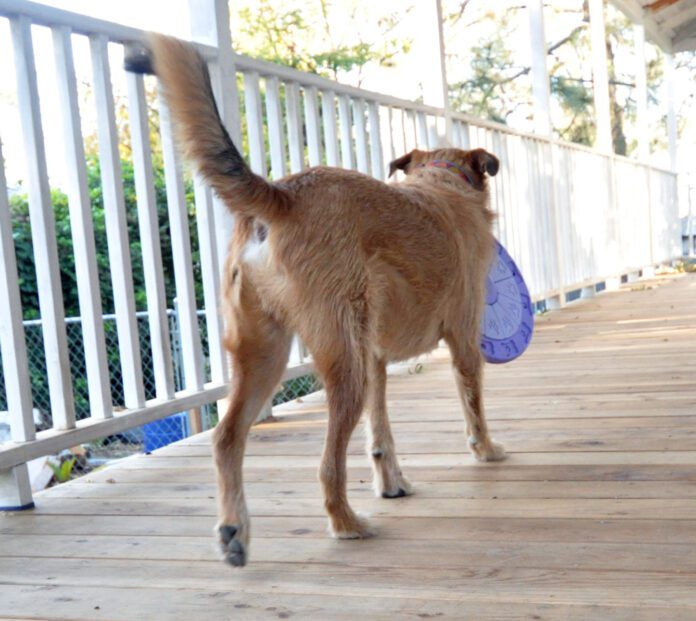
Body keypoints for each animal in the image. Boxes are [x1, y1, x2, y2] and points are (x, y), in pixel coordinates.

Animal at [147, 35, 506, 568]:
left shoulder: (375, 356)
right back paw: (346, 523)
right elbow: (472, 403)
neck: (441, 181)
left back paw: (236, 530)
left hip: (267, 356)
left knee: (227, 436)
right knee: (326, 462)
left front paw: (392, 483)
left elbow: (380, 435)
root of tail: (282, 195)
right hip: (342, 365)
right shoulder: (462, 338)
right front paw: (485, 450)